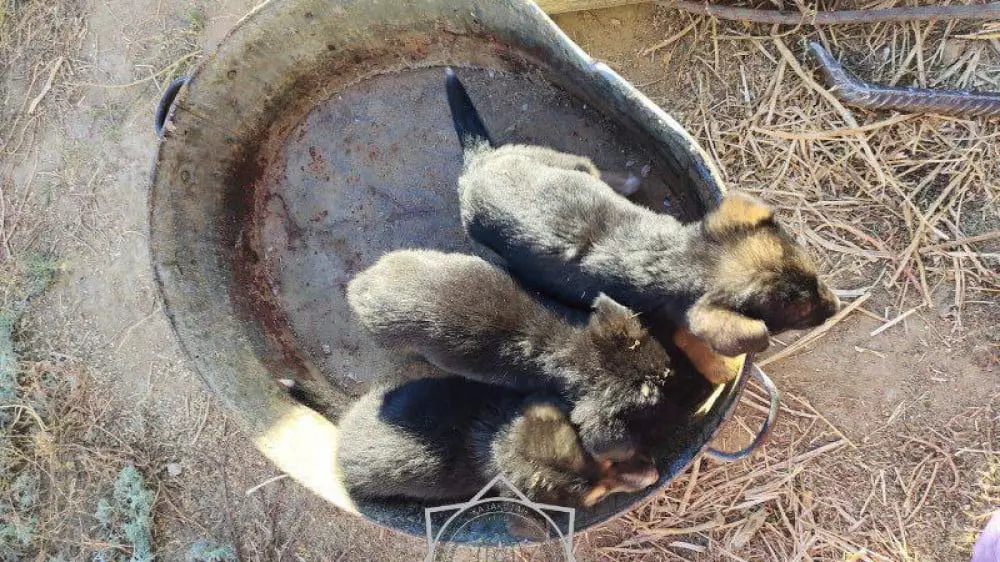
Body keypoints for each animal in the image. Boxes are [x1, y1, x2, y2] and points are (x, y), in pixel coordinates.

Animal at [442, 66, 840, 354]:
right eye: (800, 311)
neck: (682, 257)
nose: (835, 306)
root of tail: (479, 162)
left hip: (563, 161)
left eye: (816, 273)